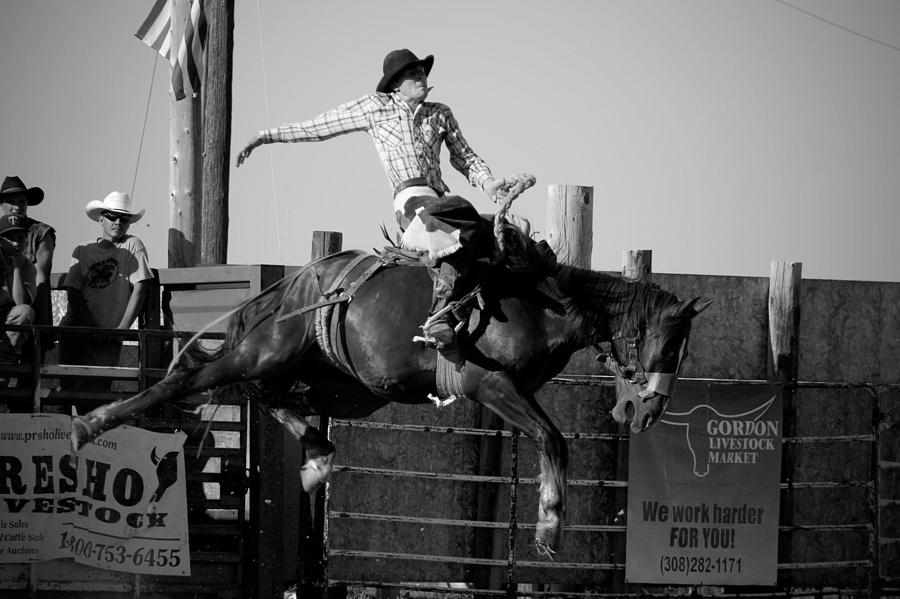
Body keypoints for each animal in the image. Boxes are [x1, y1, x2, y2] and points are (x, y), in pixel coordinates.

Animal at [68, 185, 712, 560]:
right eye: (664, 347)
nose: (646, 410)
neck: (539, 298)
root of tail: (295, 284)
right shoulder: (488, 383)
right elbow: (554, 439)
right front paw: (550, 528)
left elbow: (550, 438)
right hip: (269, 351)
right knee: (194, 380)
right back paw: (87, 424)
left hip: (345, 386)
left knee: (272, 396)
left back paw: (317, 459)